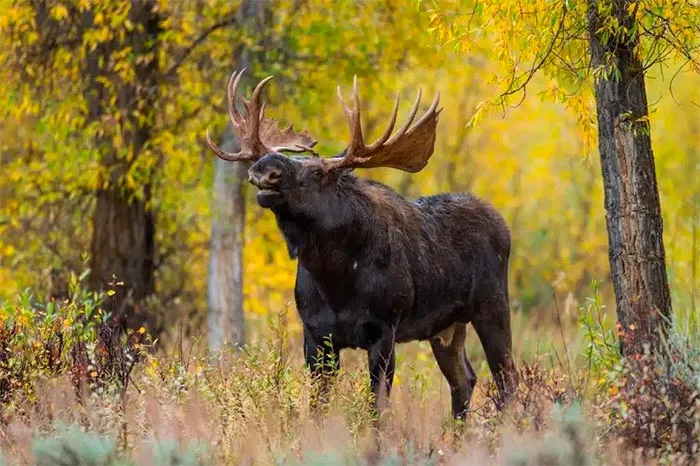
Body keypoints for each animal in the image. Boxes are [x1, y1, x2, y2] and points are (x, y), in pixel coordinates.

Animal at [207, 70, 518, 420]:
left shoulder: (384, 329)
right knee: (464, 379)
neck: (335, 279)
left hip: (492, 305)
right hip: (447, 327)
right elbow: (318, 408)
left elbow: (376, 408)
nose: (265, 167)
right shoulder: (315, 335)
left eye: (317, 172)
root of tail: (502, 224)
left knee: (507, 378)